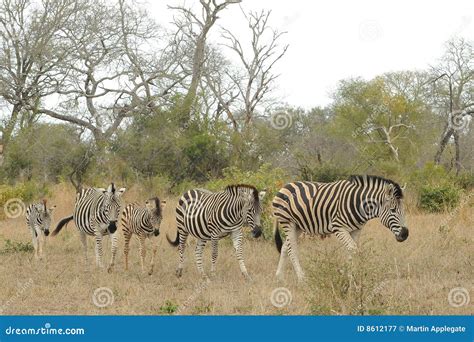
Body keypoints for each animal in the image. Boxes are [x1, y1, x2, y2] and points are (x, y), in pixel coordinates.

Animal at [272, 175, 410, 282]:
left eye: (403, 210)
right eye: (393, 210)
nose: (405, 234)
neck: (359, 204)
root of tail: (285, 186)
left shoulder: (356, 230)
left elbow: (352, 250)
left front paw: (350, 276)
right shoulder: (338, 227)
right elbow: (353, 249)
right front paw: (349, 275)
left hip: (298, 226)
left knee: (285, 247)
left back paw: (279, 277)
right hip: (287, 222)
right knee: (292, 249)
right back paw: (302, 278)